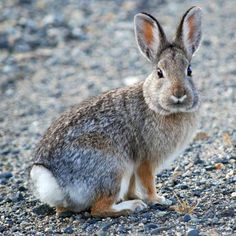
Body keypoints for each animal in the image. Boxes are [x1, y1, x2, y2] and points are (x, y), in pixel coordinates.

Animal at [30, 6, 203, 218]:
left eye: (189, 71)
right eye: (159, 73)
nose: (178, 94)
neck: (156, 105)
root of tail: (54, 181)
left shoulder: (134, 168)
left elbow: (132, 186)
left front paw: (135, 196)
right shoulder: (145, 161)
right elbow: (147, 182)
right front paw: (157, 199)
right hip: (113, 167)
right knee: (99, 208)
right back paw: (133, 207)